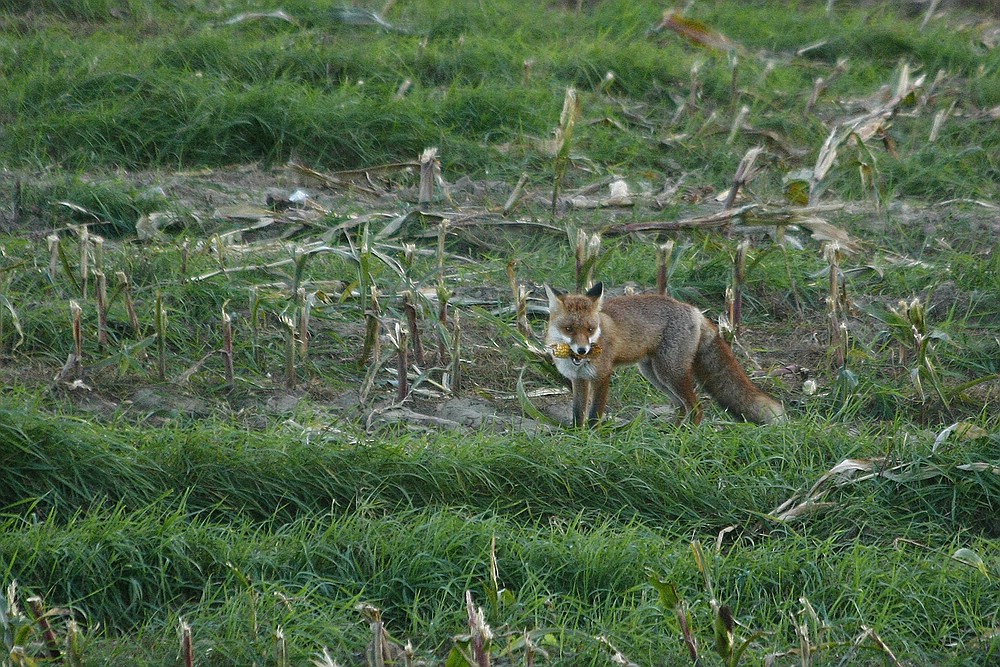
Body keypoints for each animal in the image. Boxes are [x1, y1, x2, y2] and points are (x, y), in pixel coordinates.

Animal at [544, 282, 784, 428]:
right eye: (569, 329)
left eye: (591, 329)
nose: (582, 350)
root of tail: (695, 310)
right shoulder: (578, 380)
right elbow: (577, 413)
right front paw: (578, 436)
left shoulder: (602, 375)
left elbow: (594, 414)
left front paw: (593, 437)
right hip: (654, 374)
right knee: (681, 406)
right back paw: (670, 435)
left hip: (670, 372)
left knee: (695, 407)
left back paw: (685, 437)